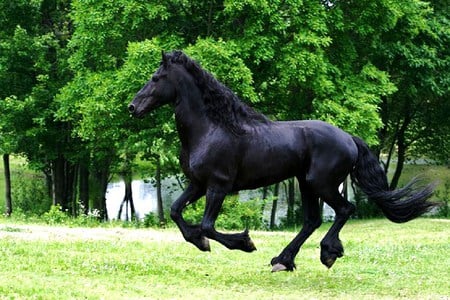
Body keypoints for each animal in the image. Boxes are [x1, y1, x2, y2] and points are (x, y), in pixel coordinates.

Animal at [127, 51, 436, 272]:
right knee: (312, 220)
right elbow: (176, 212)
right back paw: (283, 261)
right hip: (307, 184)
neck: (212, 128)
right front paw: (200, 243)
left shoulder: (218, 186)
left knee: (345, 209)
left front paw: (245, 243)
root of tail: (348, 137)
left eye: (156, 78)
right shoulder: (198, 185)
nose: (132, 107)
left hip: (321, 184)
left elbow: (207, 226)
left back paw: (328, 253)